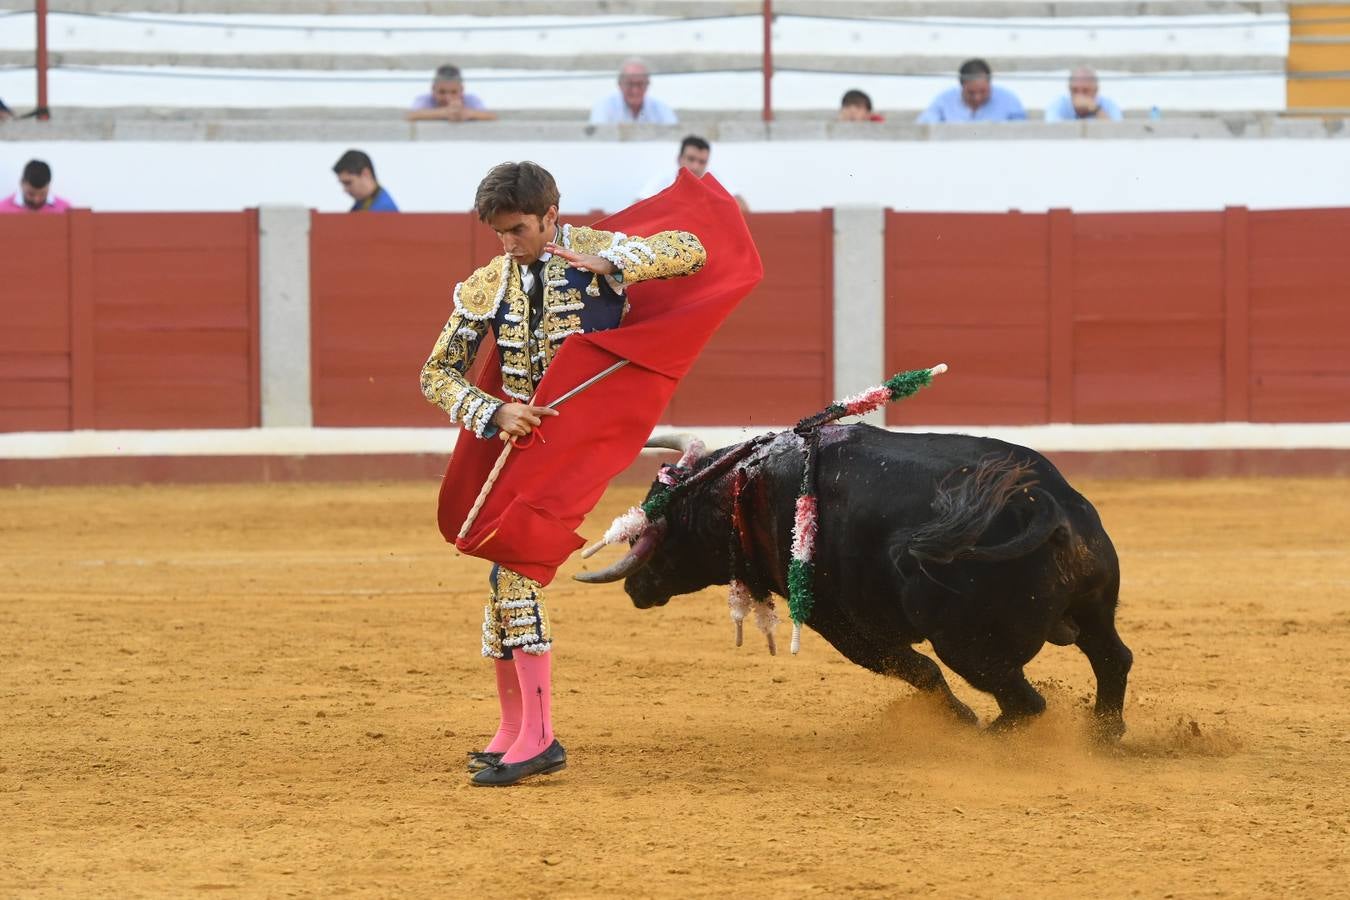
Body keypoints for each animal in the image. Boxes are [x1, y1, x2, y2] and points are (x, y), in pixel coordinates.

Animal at [575, 426, 1134, 744]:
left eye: (654, 536)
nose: (635, 589)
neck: (738, 489)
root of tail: (1042, 502)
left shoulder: (841, 624)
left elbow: (918, 671)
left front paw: (961, 721)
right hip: (1093, 608)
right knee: (1113, 658)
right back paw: (1102, 734)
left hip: (969, 646)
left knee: (1023, 701)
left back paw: (993, 738)